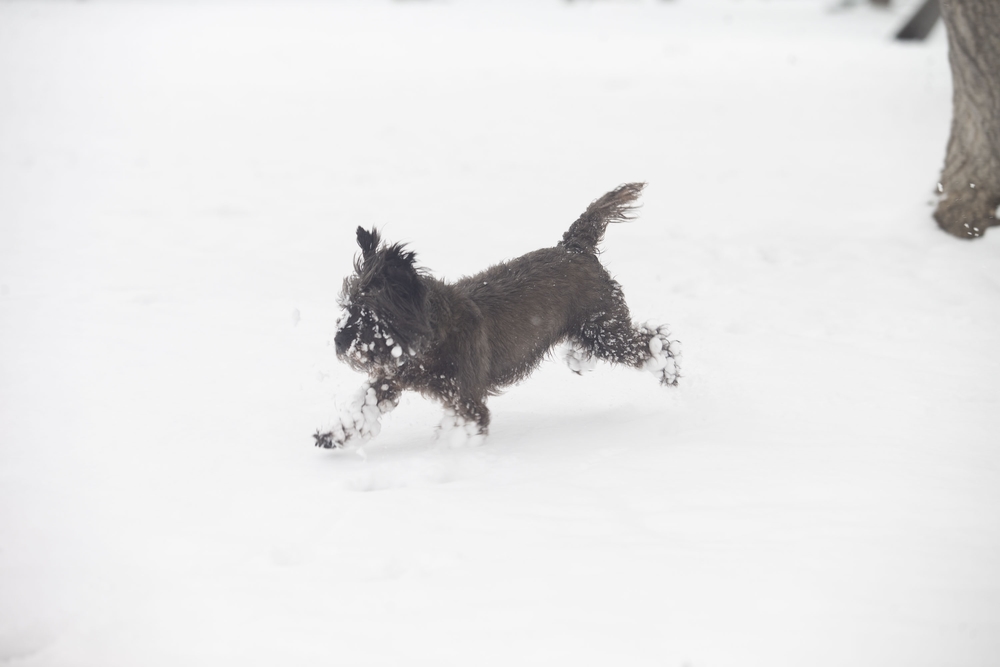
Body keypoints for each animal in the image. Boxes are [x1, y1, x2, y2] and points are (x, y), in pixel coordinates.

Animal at [316, 183, 684, 448]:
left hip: (604, 330)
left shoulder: (465, 397)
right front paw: (334, 435)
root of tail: (574, 247)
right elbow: (363, 406)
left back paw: (668, 372)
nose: (339, 342)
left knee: (652, 341)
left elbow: (469, 423)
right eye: (347, 307)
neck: (434, 336)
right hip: (593, 329)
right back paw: (581, 360)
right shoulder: (390, 378)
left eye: (370, 314)